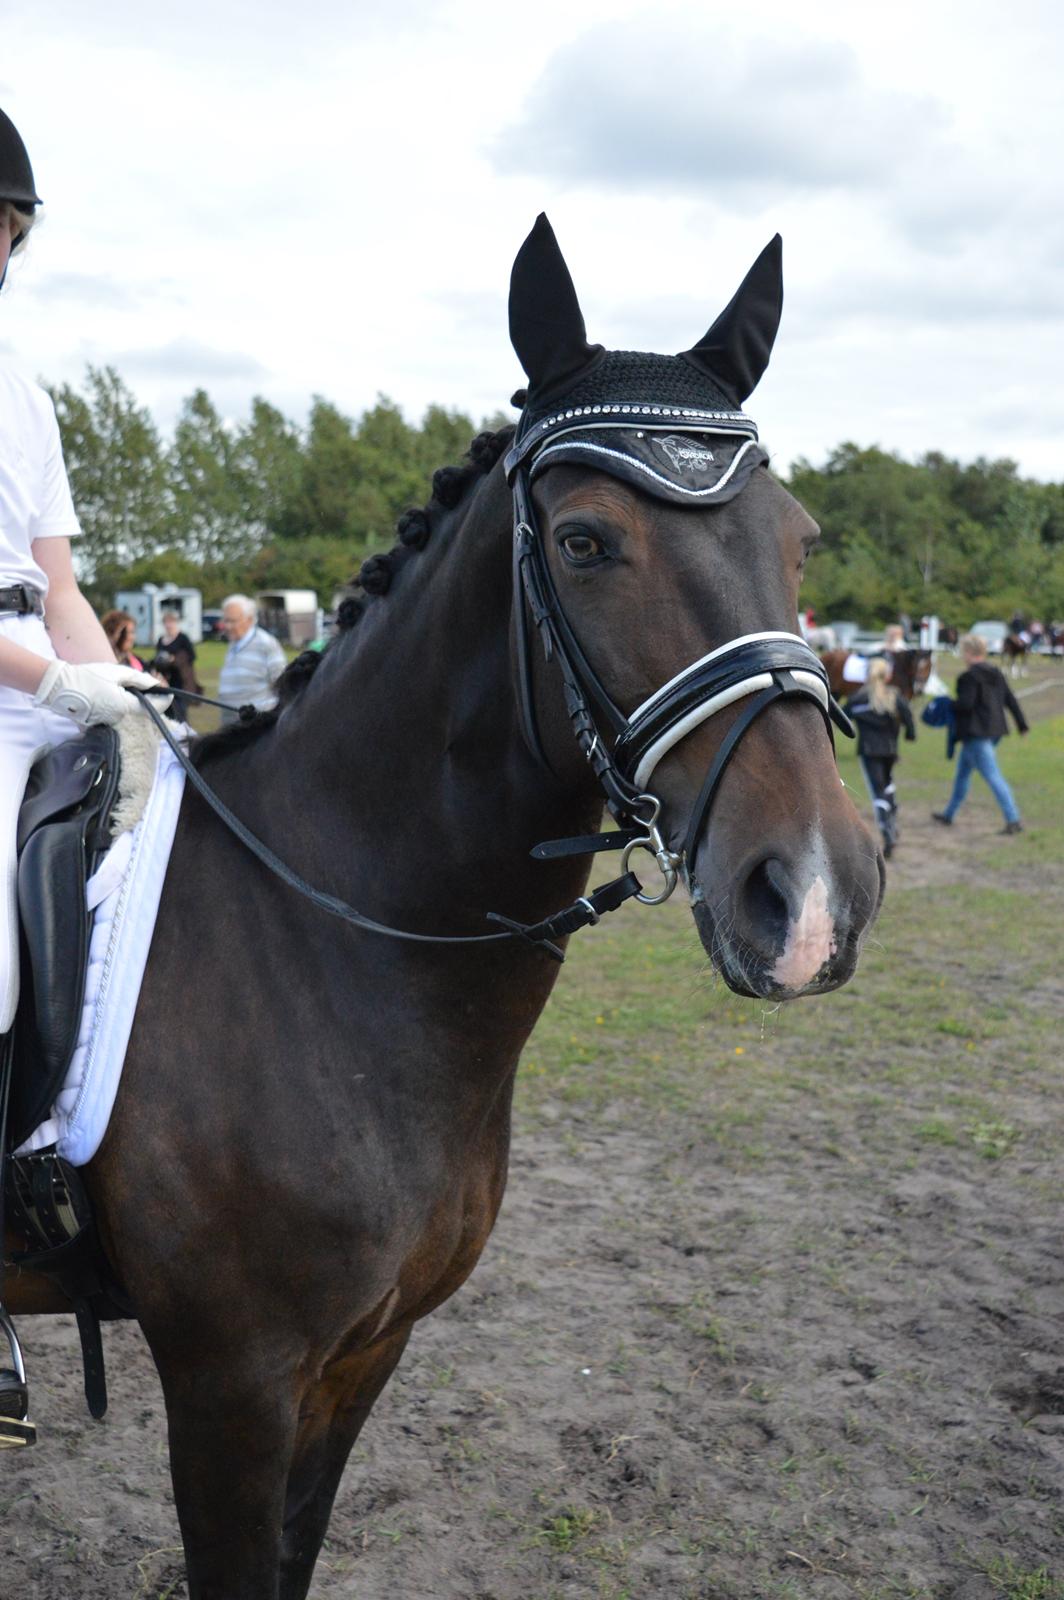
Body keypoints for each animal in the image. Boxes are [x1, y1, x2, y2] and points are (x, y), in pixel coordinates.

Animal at [2, 216, 884, 1598]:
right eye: (582, 543)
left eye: (795, 538)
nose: (814, 896)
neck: (323, 945)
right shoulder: (230, 1381)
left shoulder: (361, 1358)